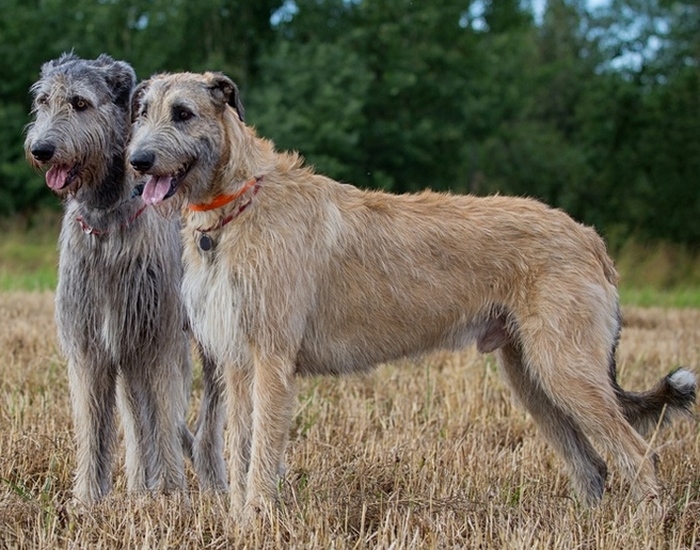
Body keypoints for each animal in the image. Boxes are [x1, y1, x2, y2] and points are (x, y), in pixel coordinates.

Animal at [24, 55, 226, 504]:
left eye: (80, 103)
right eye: (43, 101)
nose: (40, 149)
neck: (105, 221)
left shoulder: (159, 338)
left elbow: (165, 416)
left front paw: (170, 494)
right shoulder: (91, 343)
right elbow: (93, 424)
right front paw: (87, 499)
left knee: (208, 416)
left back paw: (213, 480)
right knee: (137, 419)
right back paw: (137, 484)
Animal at [129, 71, 696, 520]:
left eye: (183, 113)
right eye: (141, 112)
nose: (136, 162)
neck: (238, 202)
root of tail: (589, 237)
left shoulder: (271, 358)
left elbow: (262, 451)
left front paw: (256, 520)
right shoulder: (240, 362)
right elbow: (240, 447)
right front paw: (238, 518)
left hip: (565, 367)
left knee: (639, 451)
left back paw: (645, 524)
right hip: (531, 376)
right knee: (593, 463)